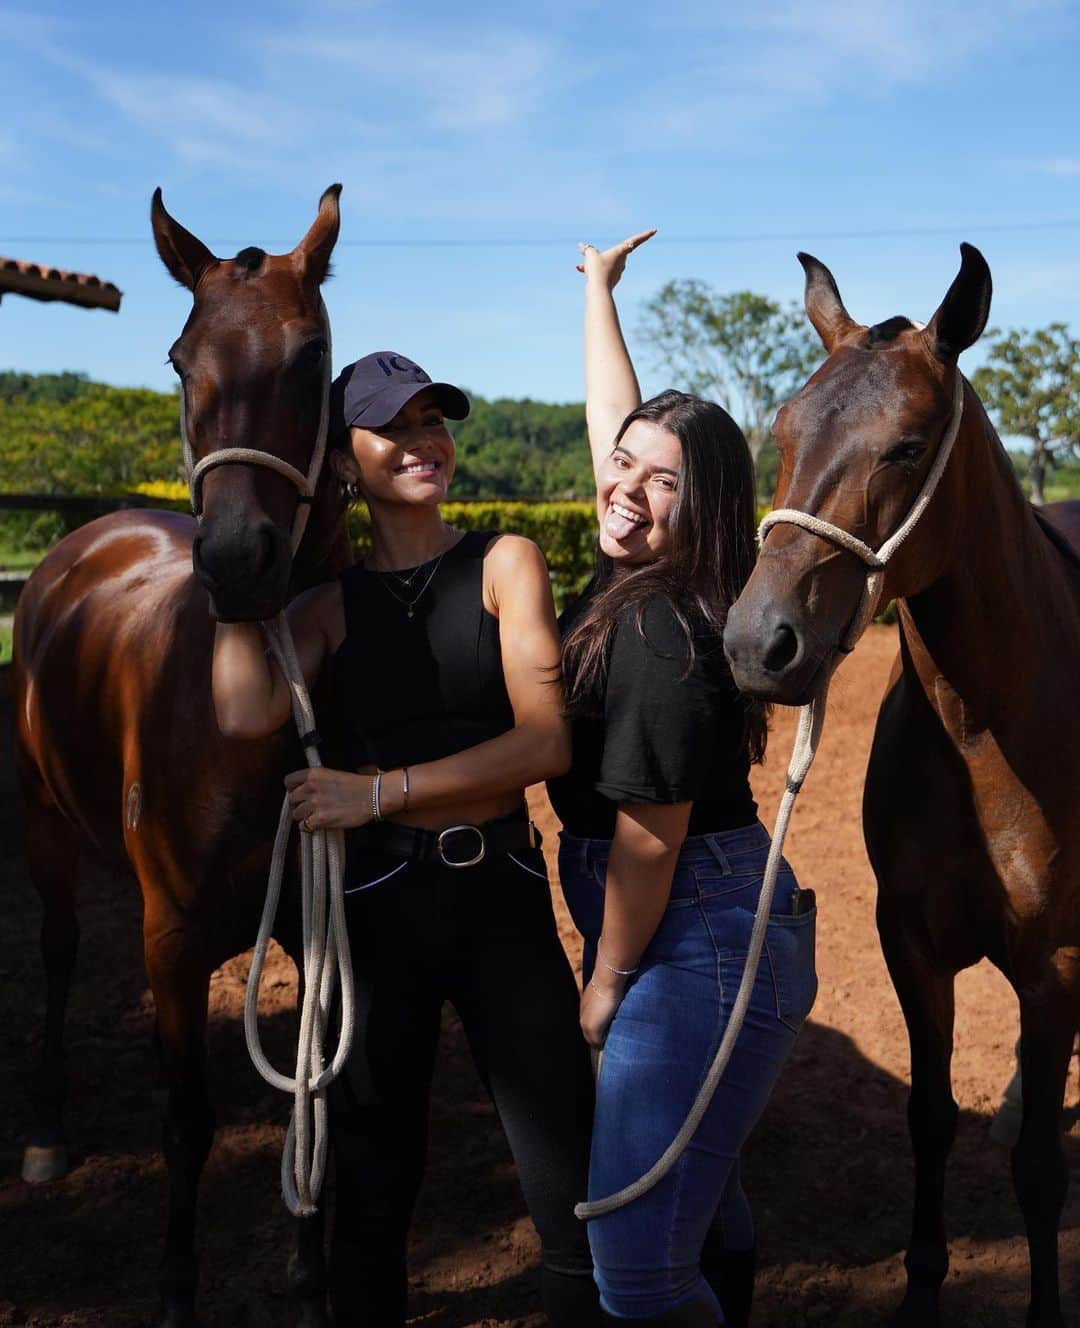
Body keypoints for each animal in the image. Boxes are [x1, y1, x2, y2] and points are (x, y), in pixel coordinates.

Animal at [13, 184, 350, 1328]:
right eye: (177, 358)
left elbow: (313, 1083)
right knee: (60, 952)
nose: (240, 560)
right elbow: (185, 1123)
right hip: (44, 826)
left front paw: (309, 1271)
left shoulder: (313, 916)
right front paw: (173, 1286)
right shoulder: (167, 942)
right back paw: (45, 1130)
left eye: (309, 353)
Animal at [722, 244, 1078, 1322]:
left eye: (909, 447)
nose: (756, 644)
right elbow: (929, 1119)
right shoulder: (910, 941)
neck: (984, 734)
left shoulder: (1056, 963)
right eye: (783, 431)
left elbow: (1041, 1171)